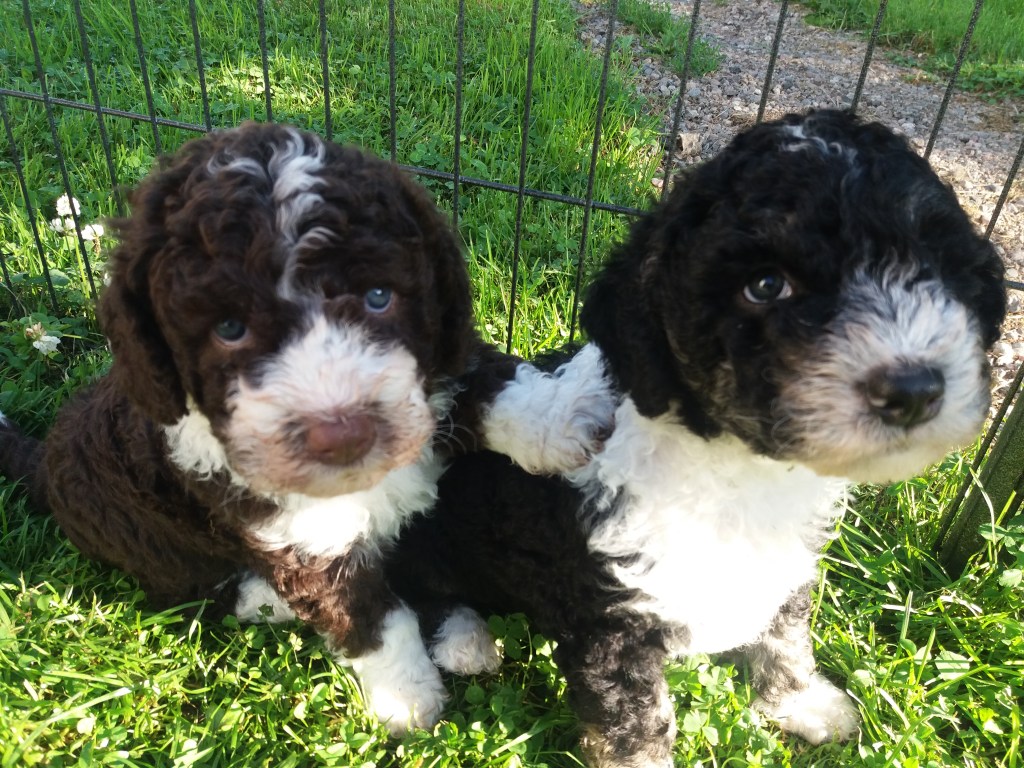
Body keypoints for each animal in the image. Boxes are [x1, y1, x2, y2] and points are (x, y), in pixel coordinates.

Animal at [0, 122, 615, 734]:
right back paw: (268, 600)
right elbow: (373, 620)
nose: (343, 435)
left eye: (378, 296)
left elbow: (486, 383)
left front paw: (565, 415)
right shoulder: (305, 543)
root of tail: (43, 463)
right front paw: (408, 700)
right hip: (156, 549)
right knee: (197, 591)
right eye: (229, 328)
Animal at [385, 109, 1006, 766]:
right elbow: (635, 722)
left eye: (934, 264)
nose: (915, 389)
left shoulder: (785, 568)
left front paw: (802, 704)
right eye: (765, 285)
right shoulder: (611, 621)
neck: (740, 470)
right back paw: (462, 637)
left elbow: (785, 636)